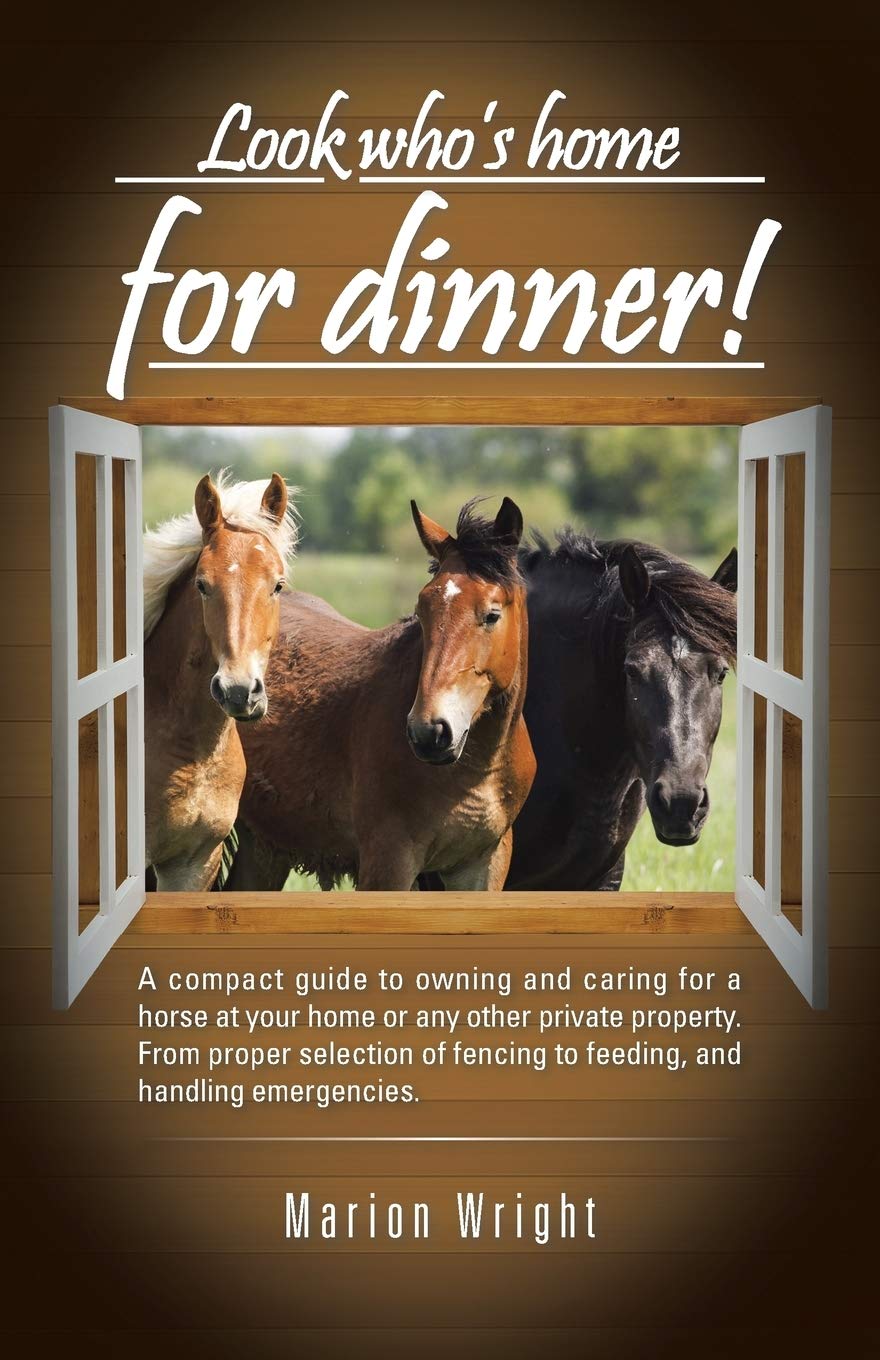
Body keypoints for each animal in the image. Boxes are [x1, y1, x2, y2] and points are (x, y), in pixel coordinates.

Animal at [223, 497, 536, 892]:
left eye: (492, 615)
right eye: (422, 609)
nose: (429, 732)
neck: (477, 771)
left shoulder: (483, 864)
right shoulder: (389, 862)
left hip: (267, 847)